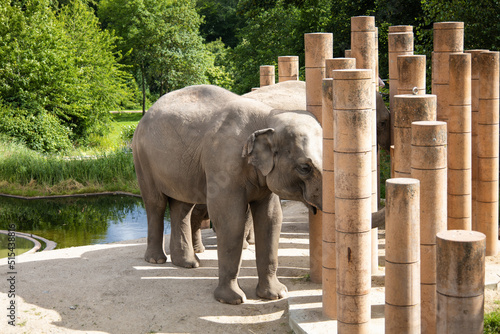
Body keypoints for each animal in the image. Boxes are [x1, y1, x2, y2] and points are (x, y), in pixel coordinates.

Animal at [131, 84, 322, 306]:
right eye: (304, 168)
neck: (270, 116)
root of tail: (147, 112)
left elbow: (271, 219)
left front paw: (276, 295)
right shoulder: (224, 163)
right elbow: (231, 220)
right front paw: (233, 300)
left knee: (182, 206)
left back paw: (188, 263)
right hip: (142, 159)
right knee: (156, 204)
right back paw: (157, 260)